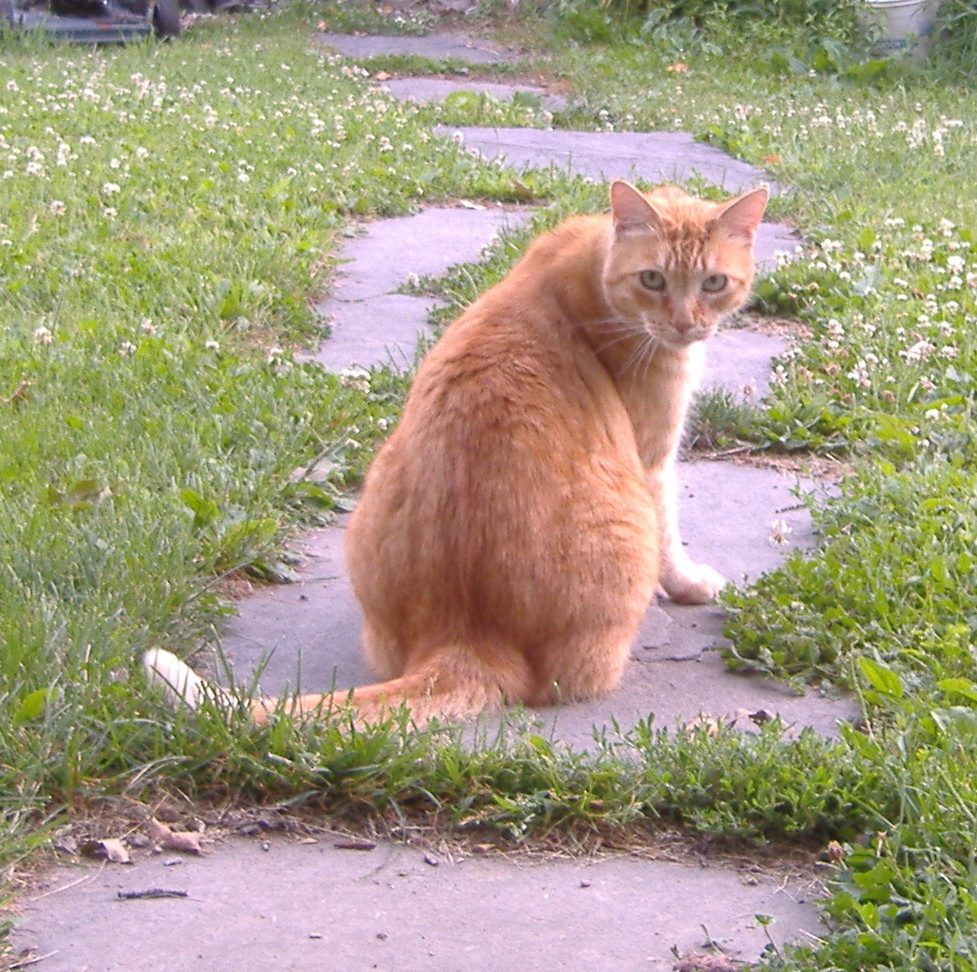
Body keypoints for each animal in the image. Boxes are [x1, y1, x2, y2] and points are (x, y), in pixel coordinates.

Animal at [144, 180, 768, 726]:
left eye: (713, 282)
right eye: (653, 279)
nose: (685, 324)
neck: (595, 271)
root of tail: (468, 634)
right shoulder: (654, 460)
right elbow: (671, 542)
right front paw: (692, 586)